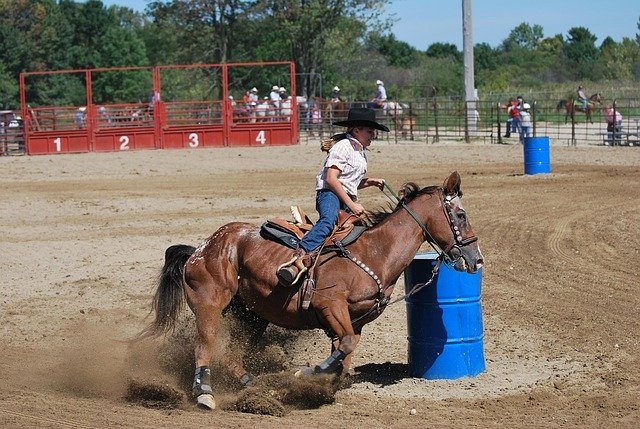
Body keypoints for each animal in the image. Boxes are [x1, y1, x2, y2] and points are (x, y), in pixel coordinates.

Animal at [140, 170, 480, 408]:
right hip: (209, 305)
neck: (375, 252)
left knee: (233, 356)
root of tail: (201, 248)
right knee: (205, 345)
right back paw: (204, 393)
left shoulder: (354, 321)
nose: (476, 259)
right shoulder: (330, 305)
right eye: (461, 215)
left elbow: (344, 356)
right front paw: (306, 375)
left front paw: (319, 388)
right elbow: (343, 348)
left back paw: (258, 389)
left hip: (252, 315)